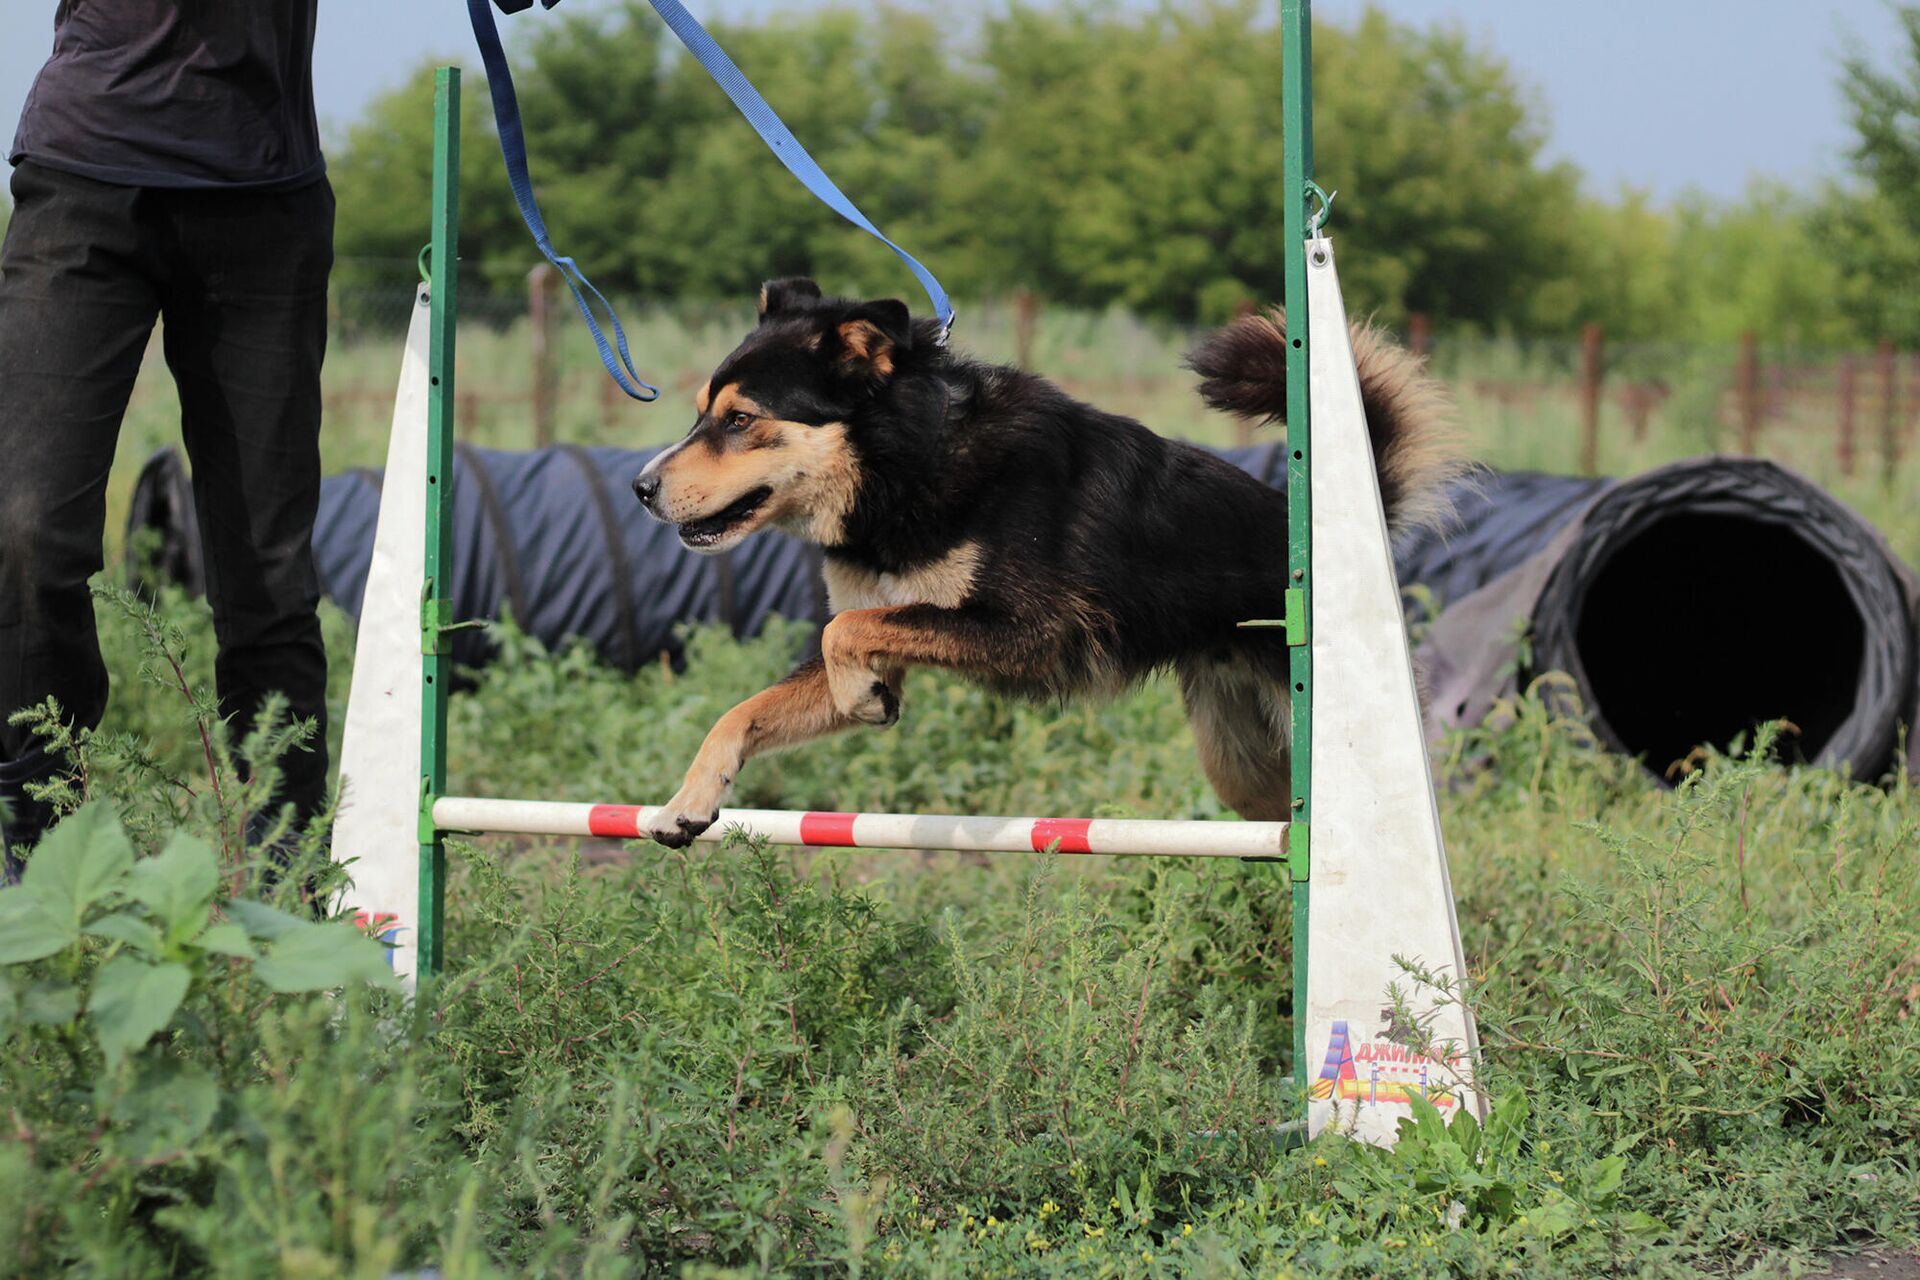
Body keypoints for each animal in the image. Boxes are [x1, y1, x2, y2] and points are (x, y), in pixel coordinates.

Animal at [629, 276, 1451, 844]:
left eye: (741, 421)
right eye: (700, 414)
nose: (639, 488)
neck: (912, 461)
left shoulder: (1033, 630)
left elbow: (844, 631)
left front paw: (863, 699)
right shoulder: (902, 625)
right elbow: (747, 708)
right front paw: (687, 803)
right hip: (1242, 765)